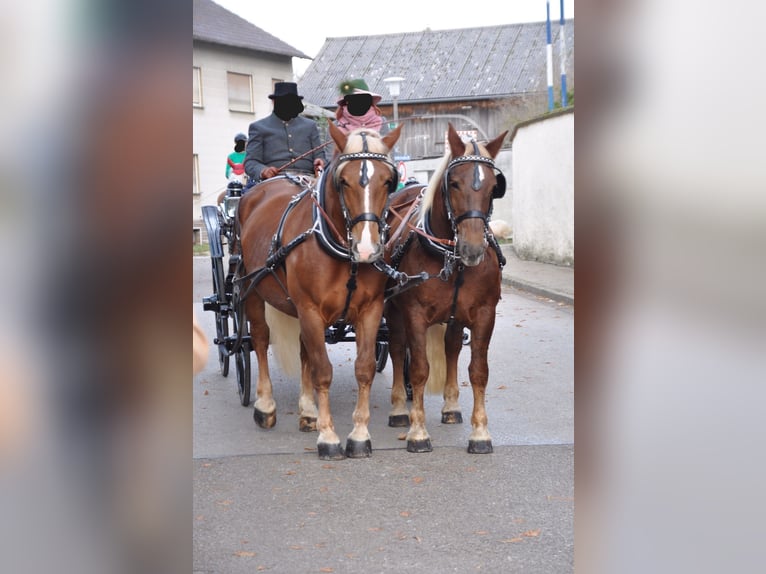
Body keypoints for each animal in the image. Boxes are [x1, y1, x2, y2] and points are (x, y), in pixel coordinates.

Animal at [237, 124, 404, 462]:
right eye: (344, 180)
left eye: (387, 180)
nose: (366, 249)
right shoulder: (310, 310)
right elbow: (323, 371)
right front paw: (328, 437)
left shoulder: (370, 310)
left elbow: (363, 369)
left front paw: (359, 435)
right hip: (253, 289)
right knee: (259, 339)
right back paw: (265, 406)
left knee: (304, 352)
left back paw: (308, 411)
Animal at [384, 122, 510, 454]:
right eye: (453, 183)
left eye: (494, 187)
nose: (472, 249)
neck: (450, 258)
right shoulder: (414, 313)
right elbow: (419, 368)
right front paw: (418, 432)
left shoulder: (484, 314)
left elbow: (478, 371)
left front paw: (480, 433)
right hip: (391, 309)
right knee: (397, 348)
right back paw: (398, 410)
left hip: (455, 316)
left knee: (451, 347)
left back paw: (451, 407)